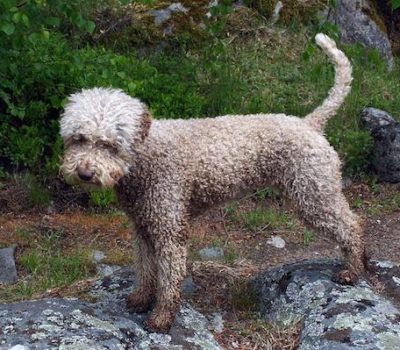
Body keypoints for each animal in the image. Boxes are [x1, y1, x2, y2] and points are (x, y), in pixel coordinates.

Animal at [60, 34, 366, 332]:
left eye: (109, 145)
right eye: (79, 138)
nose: (85, 174)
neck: (146, 156)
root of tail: (309, 123)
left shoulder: (170, 230)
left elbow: (169, 278)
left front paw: (161, 319)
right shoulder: (143, 226)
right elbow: (145, 269)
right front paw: (140, 299)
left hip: (314, 194)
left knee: (351, 225)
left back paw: (352, 270)